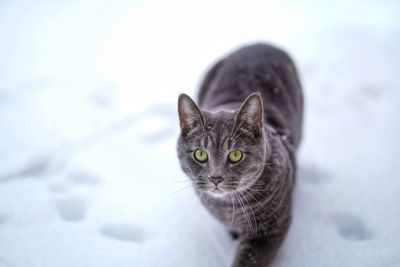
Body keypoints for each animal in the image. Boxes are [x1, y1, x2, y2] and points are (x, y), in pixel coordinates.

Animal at [176, 43, 304, 266]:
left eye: (235, 155)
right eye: (200, 154)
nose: (216, 178)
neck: (227, 208)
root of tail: (260, 43)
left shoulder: (270, 228)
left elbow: (248, 260)